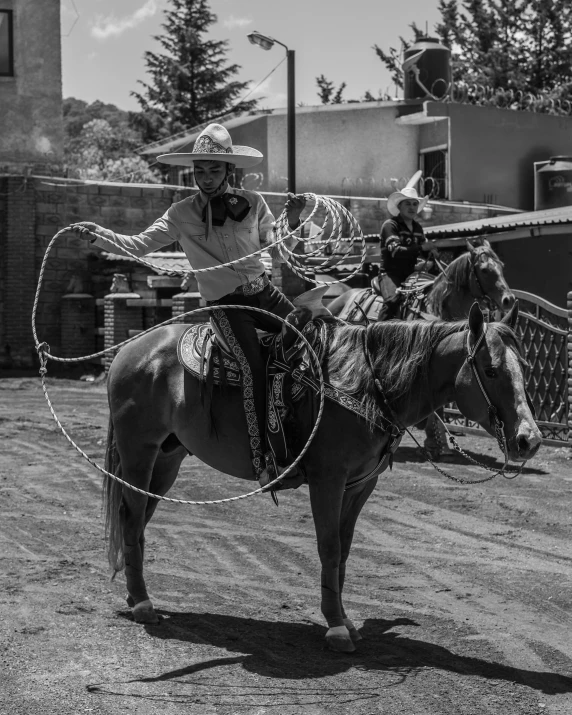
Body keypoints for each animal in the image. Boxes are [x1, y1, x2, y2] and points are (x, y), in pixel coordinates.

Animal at [103, 302, 540, 656]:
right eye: (491, 370)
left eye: (525, 369)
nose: (529, 440)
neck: (366, 383)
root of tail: (131, 348)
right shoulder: (327, 480)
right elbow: (329, 547)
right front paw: (335, 629)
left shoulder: (360, 484)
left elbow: (344, 551)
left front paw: (345, 620)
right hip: (140, 451)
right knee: (132, 516)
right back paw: (142, 604)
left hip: (167, 458)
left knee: (139, 518)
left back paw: (134, 595)